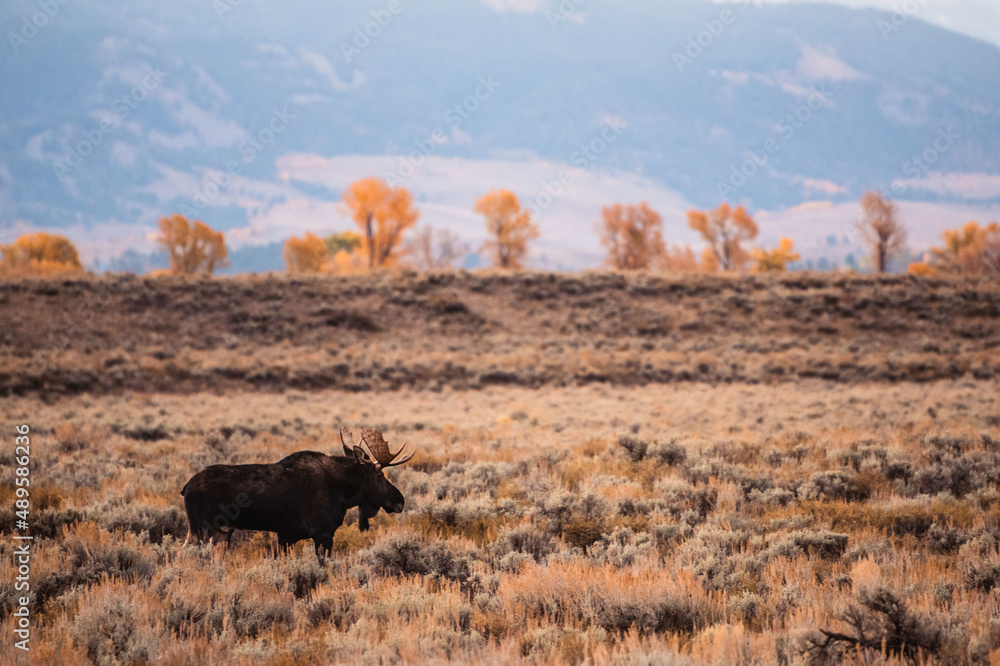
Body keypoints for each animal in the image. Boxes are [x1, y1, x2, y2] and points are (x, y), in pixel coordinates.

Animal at [180, 427, 415, 560]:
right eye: (380, 475)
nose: (399, 500)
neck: (343, 492)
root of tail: (185, 487)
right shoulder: (323, 533)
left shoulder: (286, 536)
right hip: (200, 529)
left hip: (222, 532)